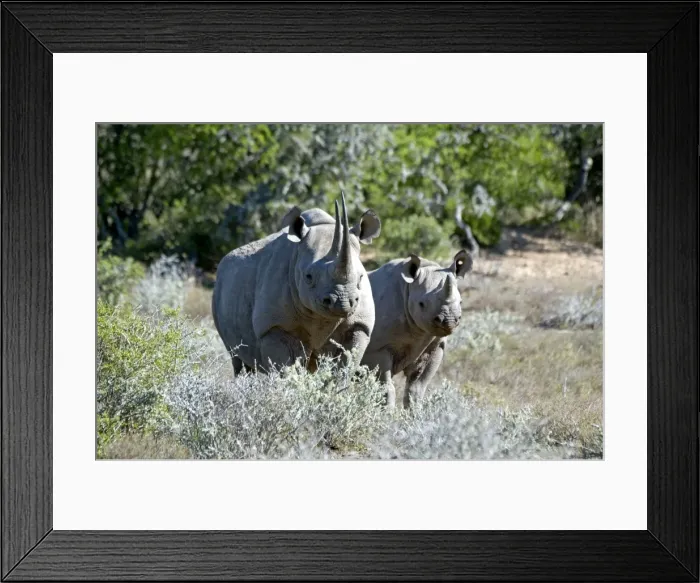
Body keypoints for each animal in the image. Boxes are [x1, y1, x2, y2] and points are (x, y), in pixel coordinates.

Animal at [212, 192, 381, 374]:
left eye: (361, 277)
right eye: (308, 277)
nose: (341, 302)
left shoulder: (359, 325)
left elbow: (344, 367)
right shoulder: (274, 326)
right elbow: (285, 368)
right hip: (219, 288)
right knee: (238, 360)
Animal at [360, 250, 473, 409]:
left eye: (461, 302)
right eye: (421, 304)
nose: (449, 320)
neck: (408, 288)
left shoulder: (434, 345)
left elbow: (416, 389)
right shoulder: (377, 348)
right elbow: (385, 388)